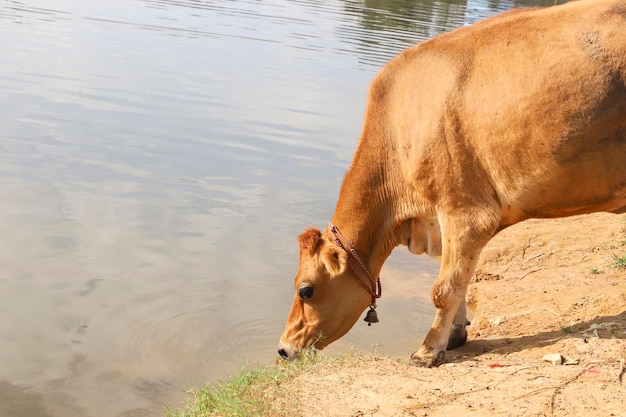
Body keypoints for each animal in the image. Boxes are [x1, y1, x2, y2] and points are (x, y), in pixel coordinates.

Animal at [276, 0, 624, 364]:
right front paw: (455, 334)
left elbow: (444, 289)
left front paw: (429, 349)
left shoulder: (465, 212)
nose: (283, 348)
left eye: (305, 289)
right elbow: (460, 281)